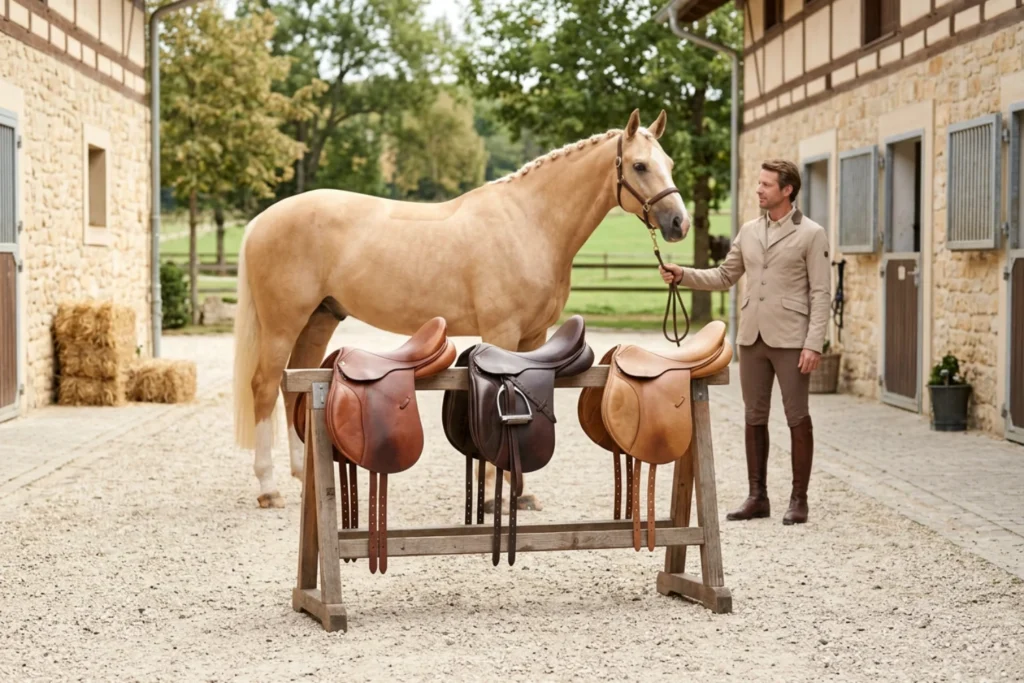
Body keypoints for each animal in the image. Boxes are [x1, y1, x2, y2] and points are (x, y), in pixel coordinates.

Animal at [232, 108, 692, 510]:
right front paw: (491, 496)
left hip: (318, 319)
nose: (679, 224)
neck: (530, 223)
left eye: (669, 162)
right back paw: (269, 488)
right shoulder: (502, 333)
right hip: (283, 323)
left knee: (293, 385)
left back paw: (299, 475)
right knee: (264, 386)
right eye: (639, 166)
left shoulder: (535, 338)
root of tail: (261, 221)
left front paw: (519, 494)